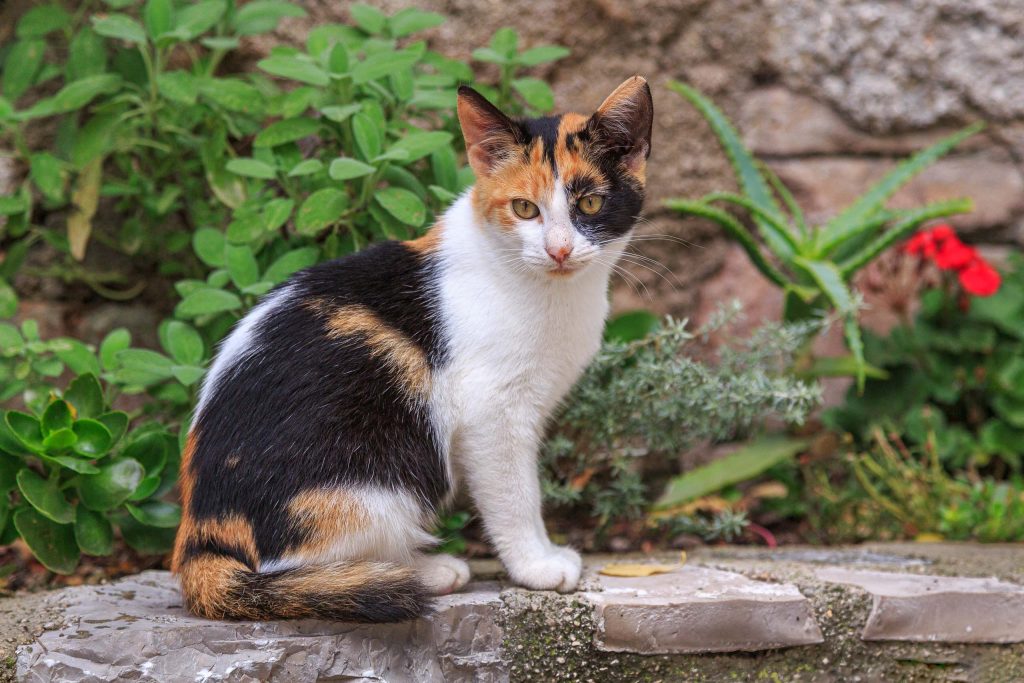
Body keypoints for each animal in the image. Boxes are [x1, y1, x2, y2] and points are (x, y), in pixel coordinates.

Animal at [171, 76, 653, 622]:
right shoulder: (492, 411)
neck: (550, 292)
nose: (559, 249)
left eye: (589, 205)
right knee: (289, 568)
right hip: (377, 470)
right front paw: (537, 565)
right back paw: (421, 570)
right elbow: (515, 495)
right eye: (524, 208)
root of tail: (199, 535)